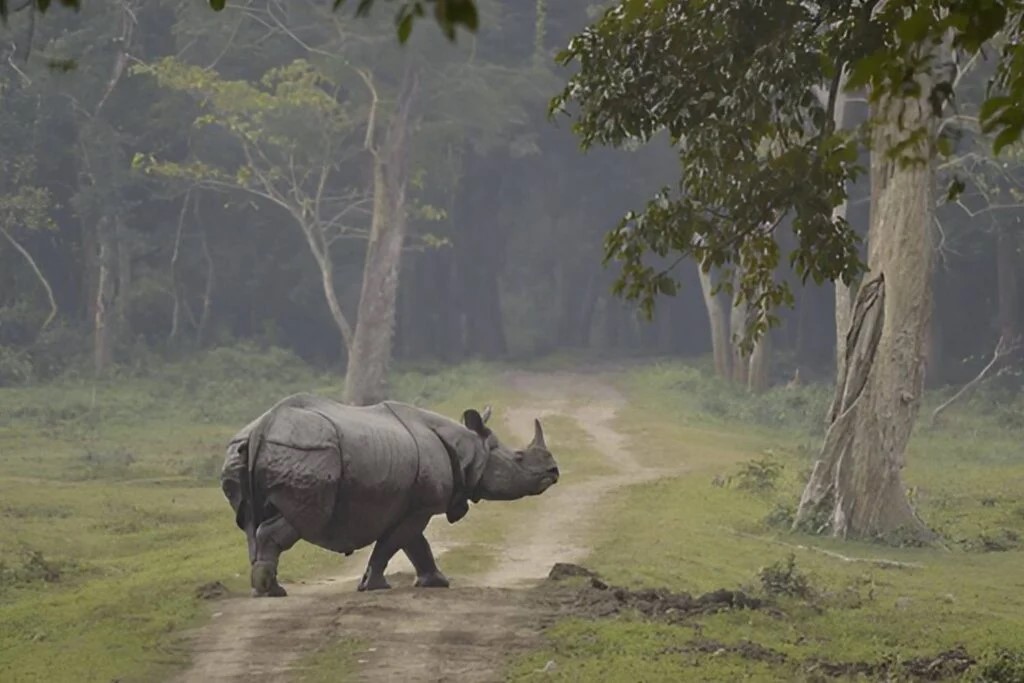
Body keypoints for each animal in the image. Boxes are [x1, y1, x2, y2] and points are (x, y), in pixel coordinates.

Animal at [220, 393, 559, 597]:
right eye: (519, 458)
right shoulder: (422, 506)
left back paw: (264, 588)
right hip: (310, 453)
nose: (554, 471)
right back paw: (272, 590)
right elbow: (395, 543)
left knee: (251, 521)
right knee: (300, 519)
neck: (468, 448)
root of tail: (263, 427)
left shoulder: (411, 502)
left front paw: (435, 582)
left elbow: (414, 545)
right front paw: (375, 586)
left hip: (242, 451)